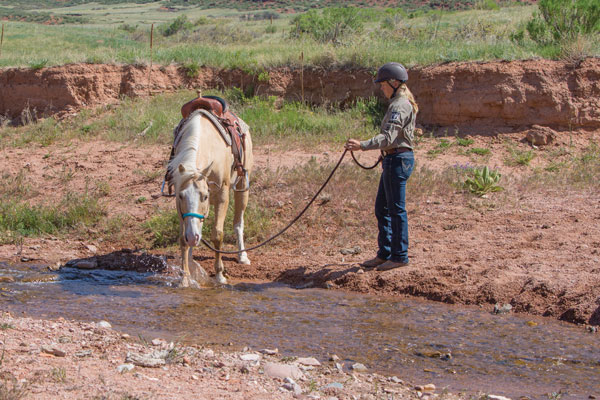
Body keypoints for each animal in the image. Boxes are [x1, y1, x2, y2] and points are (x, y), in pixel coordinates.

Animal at [166, 112, 253, 288]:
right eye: (181, 196)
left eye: (205, 196)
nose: (192, 237)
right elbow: (183, 239)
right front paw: (185, 278)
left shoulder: (222, 196)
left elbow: (217, 235)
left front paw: (220, 276)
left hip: (242, 187)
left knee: (238, 222)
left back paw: (242, 256)